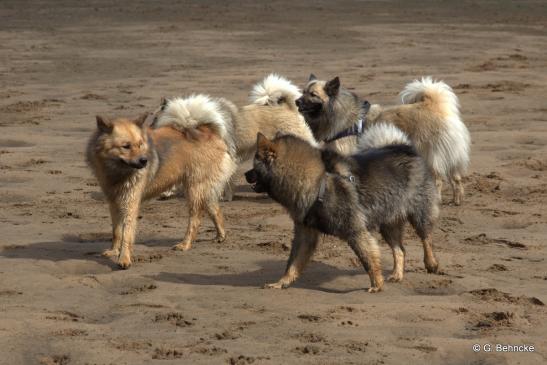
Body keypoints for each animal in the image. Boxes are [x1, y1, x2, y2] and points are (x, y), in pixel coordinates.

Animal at [244, 123, 440, 292]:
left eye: (254, 165)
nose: (245, 174)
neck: (319, 181)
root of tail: (404, 148)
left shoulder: (355, 231)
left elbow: (368, 259)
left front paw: (376, 284)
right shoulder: (305, 234)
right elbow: (293, 263)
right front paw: (281, 282)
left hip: (419, 215)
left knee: (426, 238)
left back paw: (431, 263)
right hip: (388, 223)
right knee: (400, 250)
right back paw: (397, 274)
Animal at [298, 74, 474, 205]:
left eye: (312, 95)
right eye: (303, 92)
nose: (296, 101)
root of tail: (433, 105)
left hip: (430, 154)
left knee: (438, 180)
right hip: (449, 155)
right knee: (456, 179)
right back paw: (457, 200)